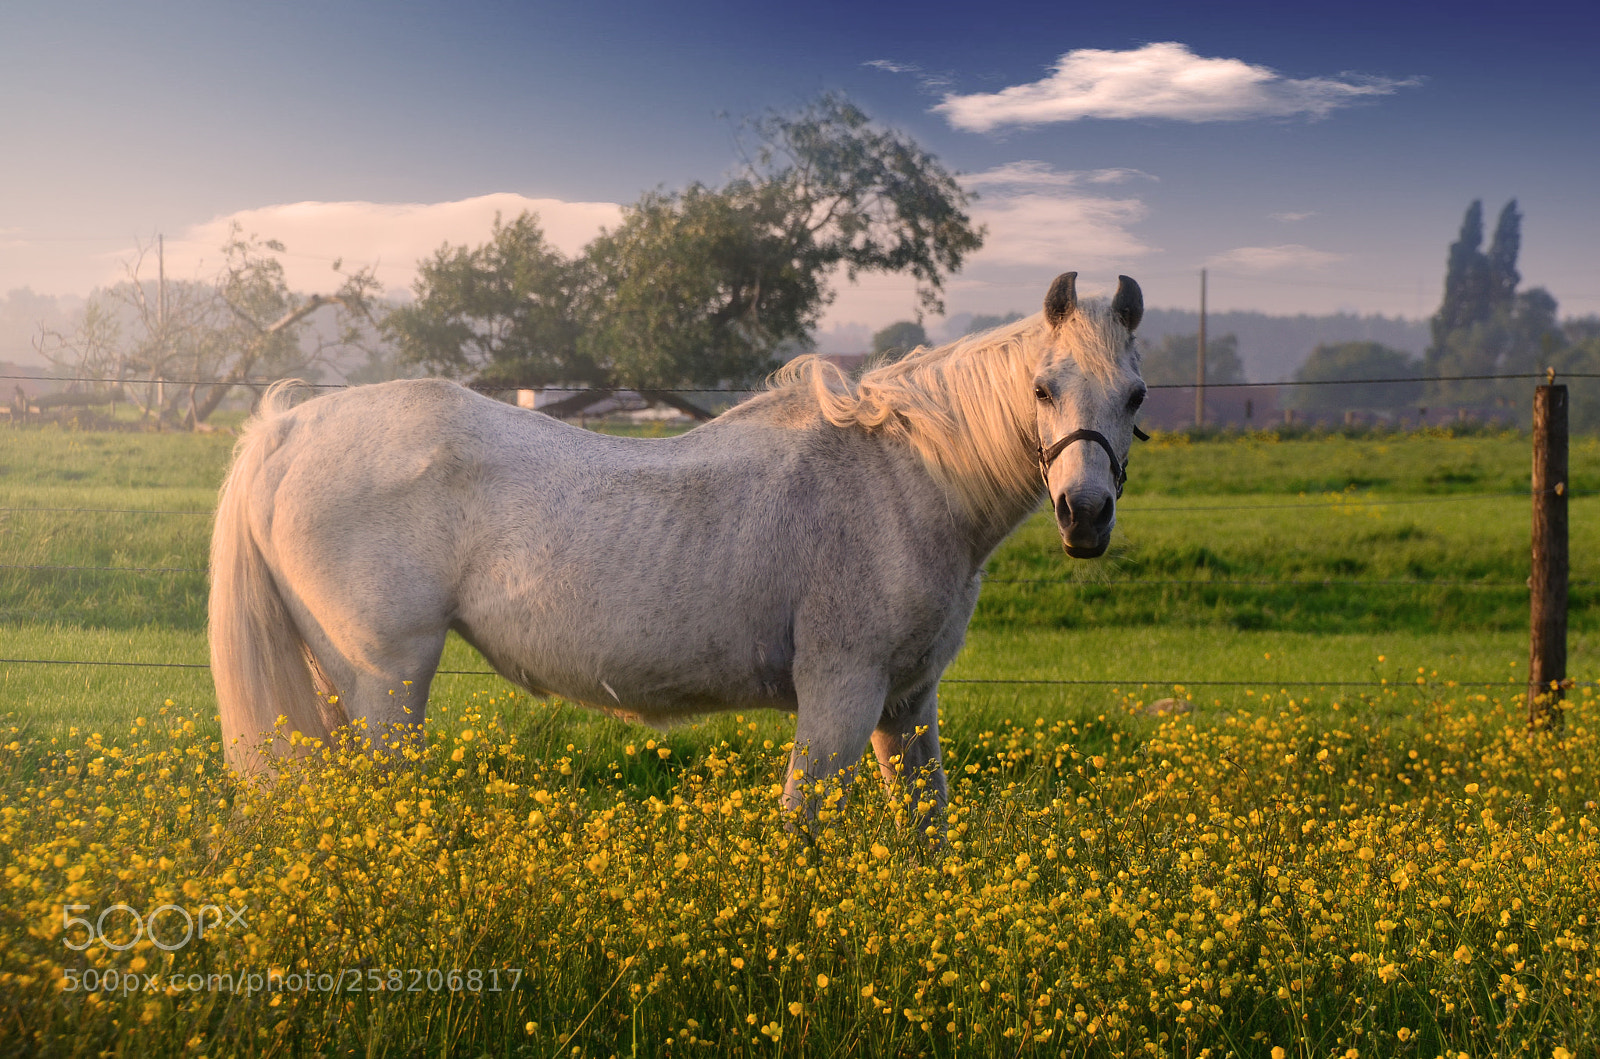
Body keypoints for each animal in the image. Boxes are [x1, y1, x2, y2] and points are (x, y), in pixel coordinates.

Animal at [209, 271, 1147, 828]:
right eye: (1042, 387)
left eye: (1136, 392)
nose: (1085, 514)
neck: (899, 476)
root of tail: (288, 426)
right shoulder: (841, 696)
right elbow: (802, 828)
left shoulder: (907, 704)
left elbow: (927, 833)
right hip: (385, 682)